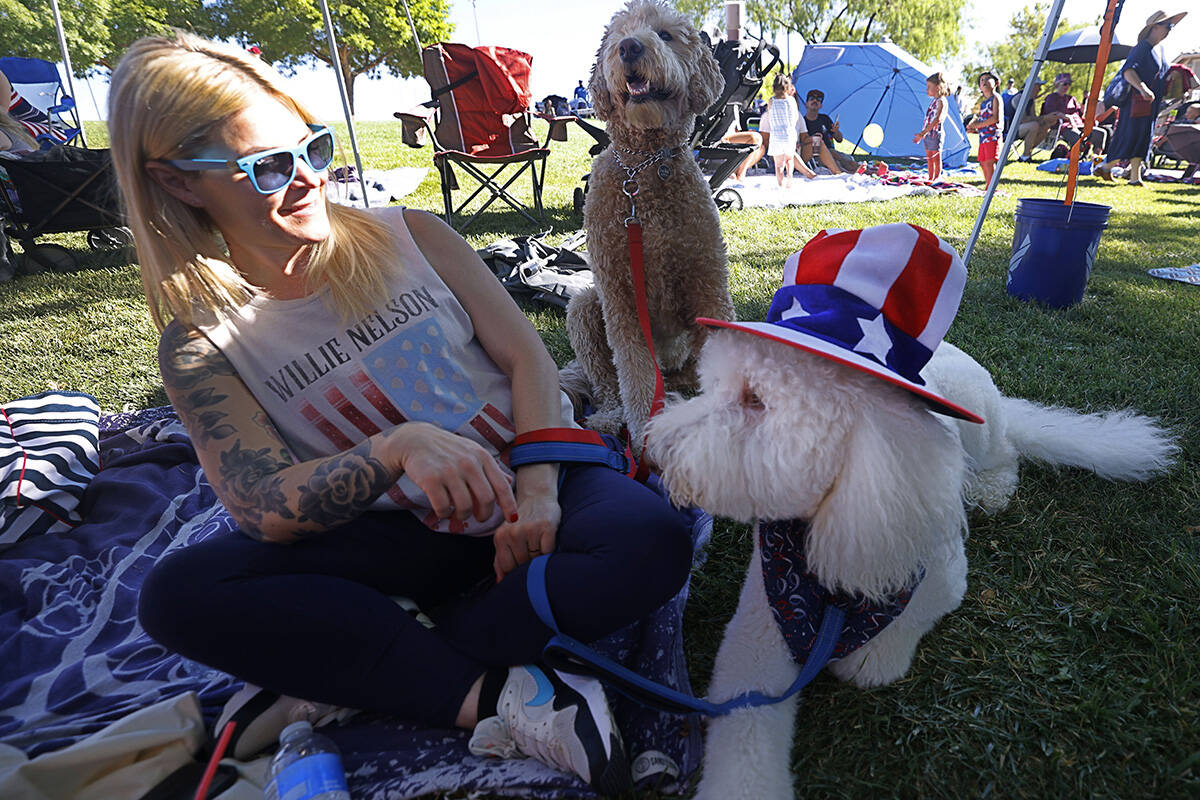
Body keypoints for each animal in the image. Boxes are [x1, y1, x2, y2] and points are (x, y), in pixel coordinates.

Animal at [564, 0, 739, 443]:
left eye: (665, 35)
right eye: (616, 36)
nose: (628, 47)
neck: (644, 167)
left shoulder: (708, 283)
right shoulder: (620, 297)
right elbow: (634, 373)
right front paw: (644, 429)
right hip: (585, 307)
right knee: (607, 384)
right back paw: (611, 418)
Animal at [643, 224, 1176, 800]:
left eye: (756, 401)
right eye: (711, 386)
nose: (656, 447)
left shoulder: (942, 573)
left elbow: (907, 622)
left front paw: (873, 656)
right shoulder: (758, 637)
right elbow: (743, 736)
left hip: (983, 427)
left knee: (1006, 452)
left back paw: (990, 489)